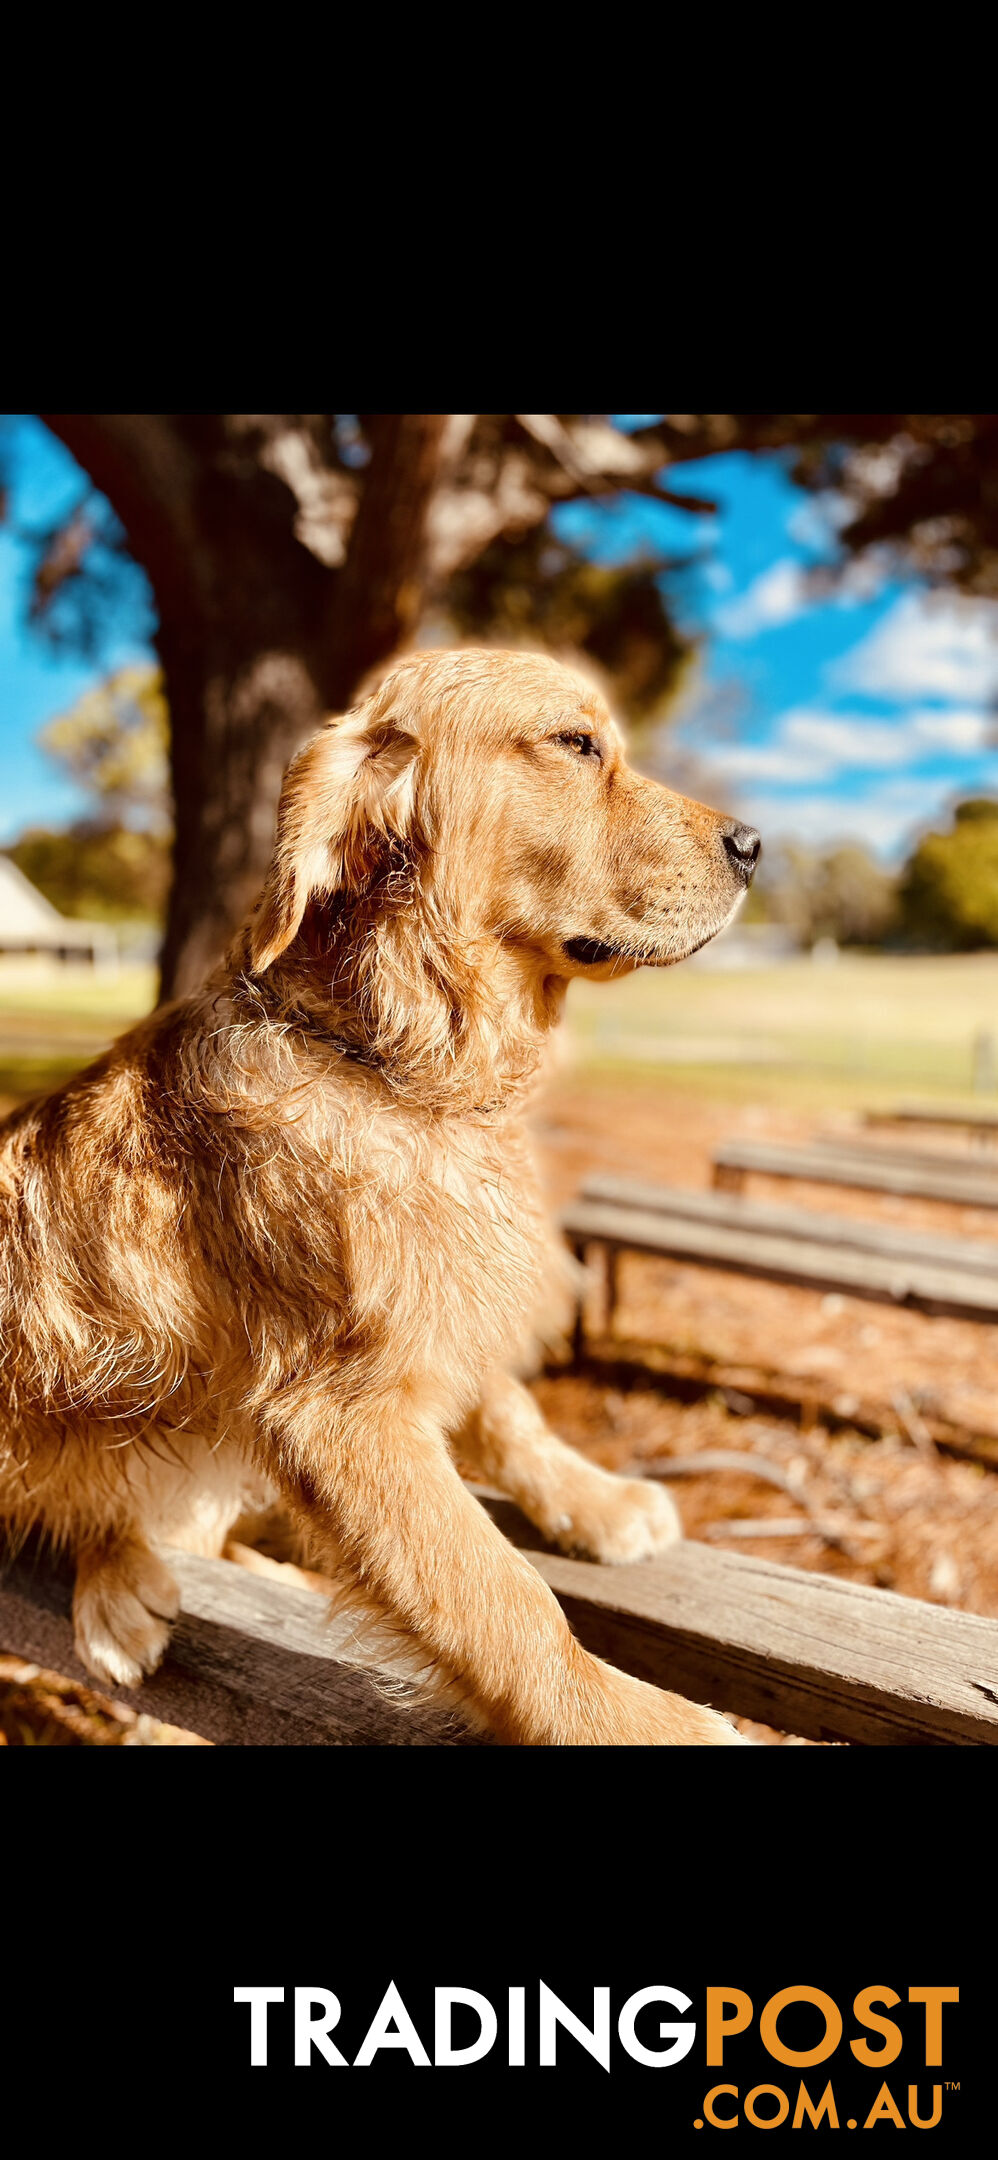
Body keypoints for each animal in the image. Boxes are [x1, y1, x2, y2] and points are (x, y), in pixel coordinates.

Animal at [0, 648, 756, 1745]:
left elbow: (508, 1408)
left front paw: (595, 1499)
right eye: (575, 743)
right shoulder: (343, 1415)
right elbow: (501, 1597)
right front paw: (638, 1719)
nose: (755, 845)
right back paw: (122, 1587)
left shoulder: (436, 1306)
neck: (396, 1066)